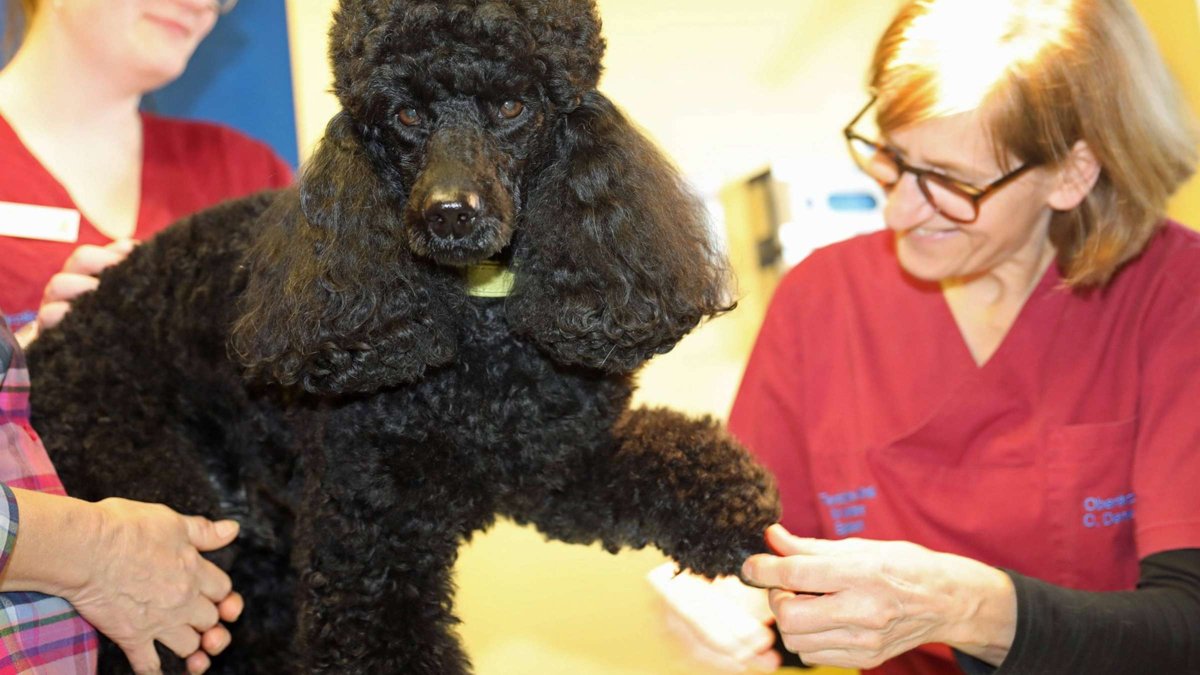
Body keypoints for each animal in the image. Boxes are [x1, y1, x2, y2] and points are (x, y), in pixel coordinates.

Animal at [28, 1, 782, 667]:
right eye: (407, 115)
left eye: (513, 107)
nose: (450, 212)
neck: (482, 338)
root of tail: (45, 352)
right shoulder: (369, 541)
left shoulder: (557, 460)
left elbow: (666, 458)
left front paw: (745, 521)